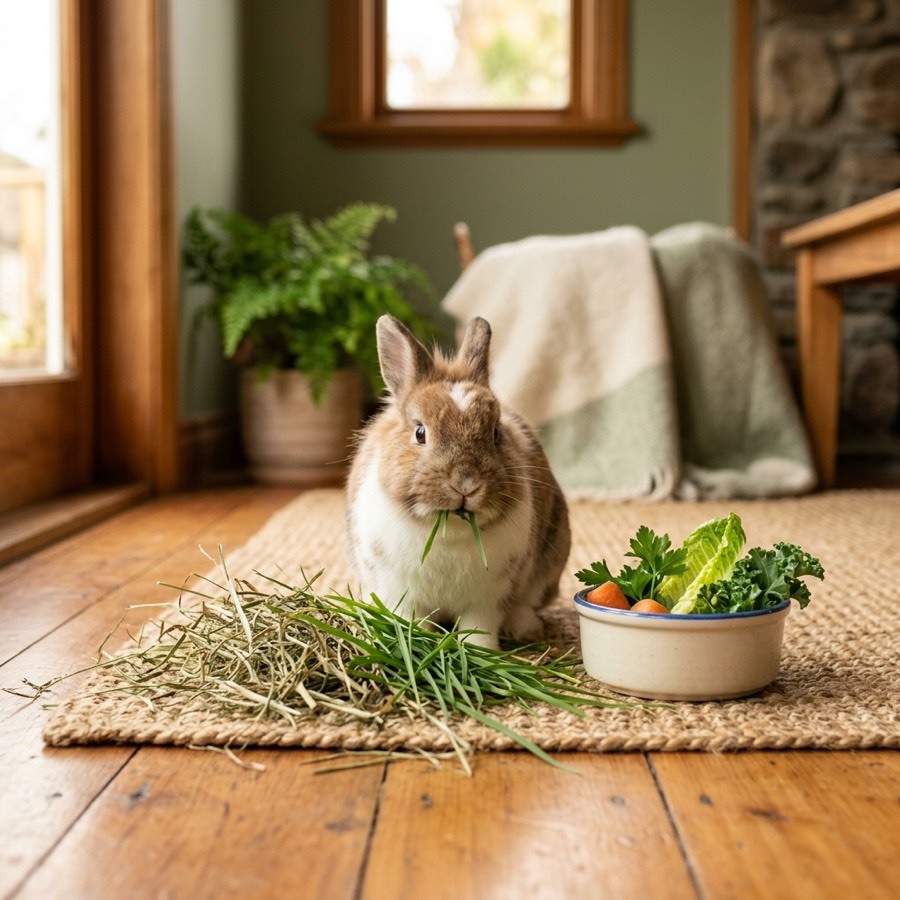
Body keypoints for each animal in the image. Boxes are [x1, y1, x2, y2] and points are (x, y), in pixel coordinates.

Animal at [346, 314, 571, 649]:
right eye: (420, 433)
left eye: (495, 433)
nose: (466, 484)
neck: (449, 532)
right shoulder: (400, 592)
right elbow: (410, 621)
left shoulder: (487, 600)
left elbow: (479, 630)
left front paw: (481, 651)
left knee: (527, 602)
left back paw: (525, 629)